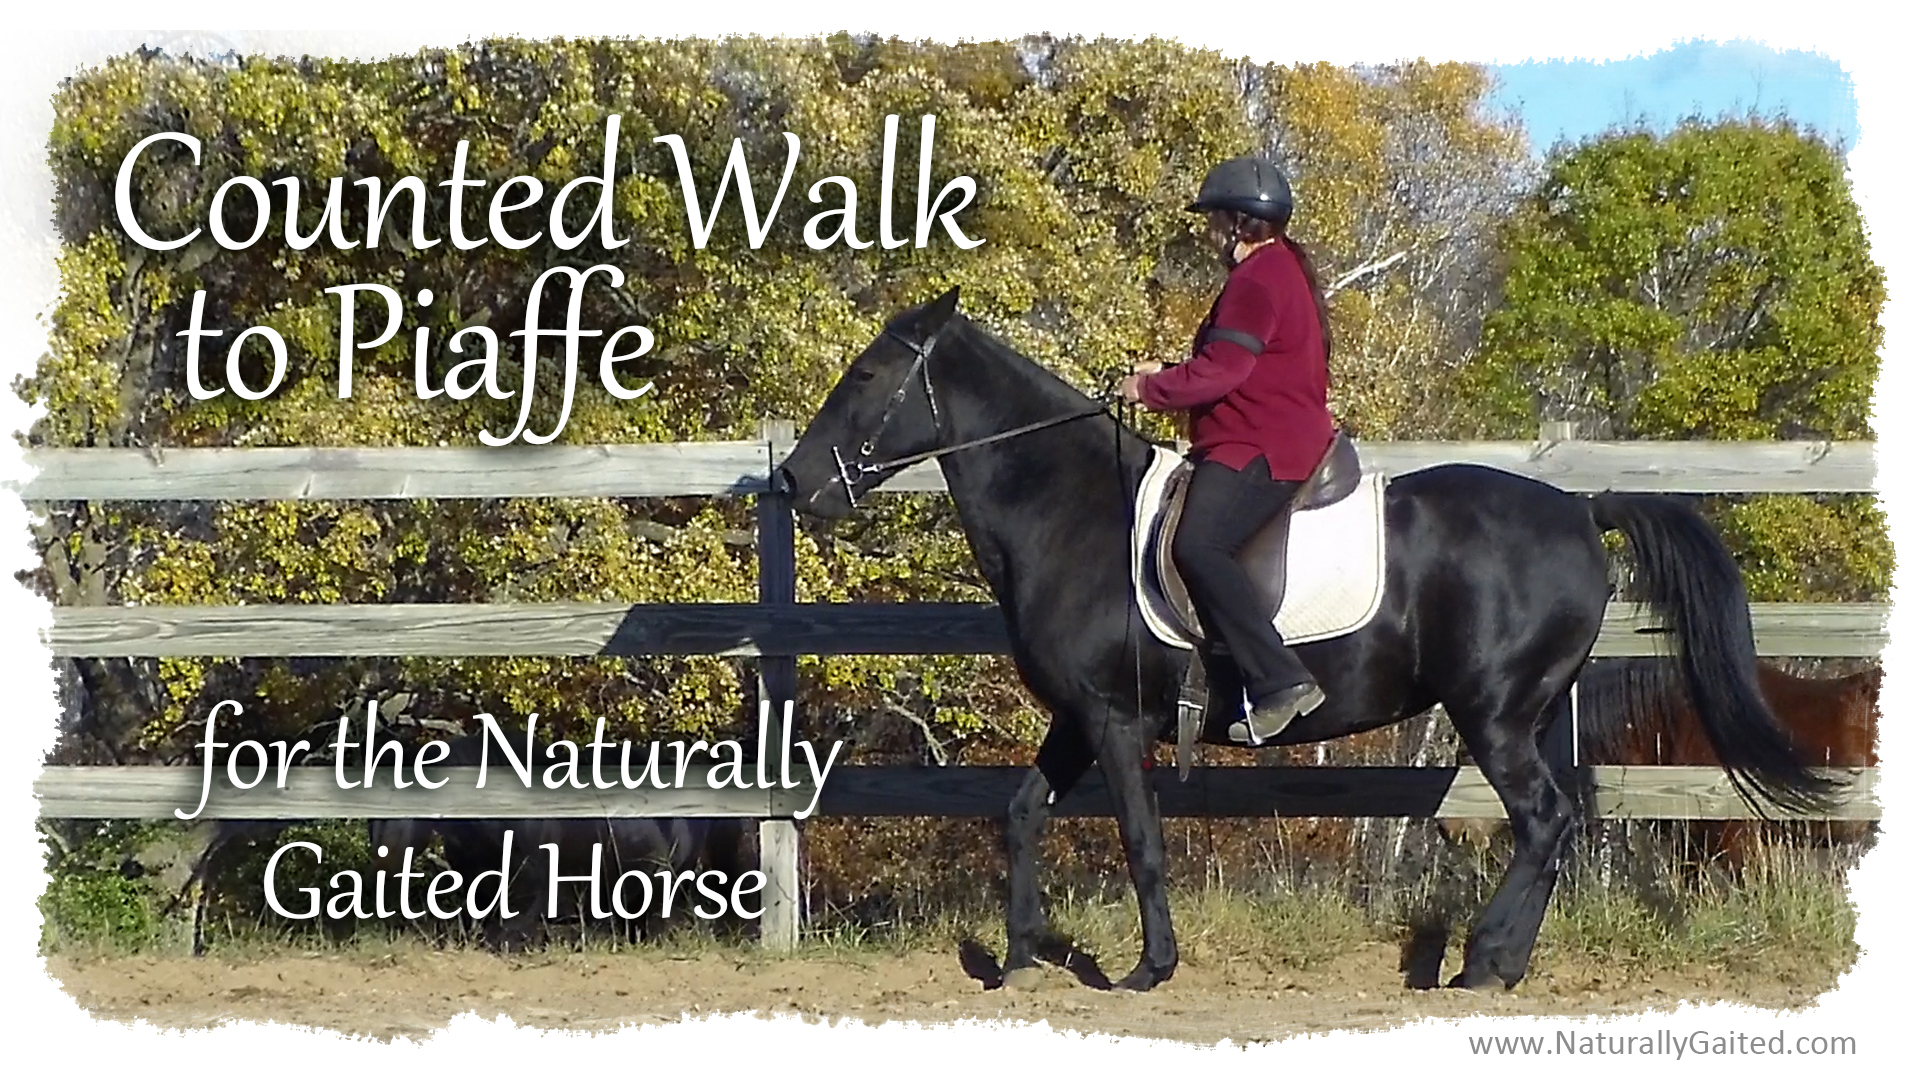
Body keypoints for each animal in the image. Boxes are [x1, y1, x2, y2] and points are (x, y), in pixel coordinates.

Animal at [773, 288, 1832, 992]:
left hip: (1493, 712)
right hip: (1521, 714)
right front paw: (1022, 958)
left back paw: (1481, 966)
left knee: (1542, 819)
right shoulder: (1079, 718)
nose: (793, 483)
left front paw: (1150, 968)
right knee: (1557, 823)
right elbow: (1022, 812)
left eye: (867, 374)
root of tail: (1580, 507)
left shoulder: (1116, 721)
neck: (1069, 508)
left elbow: (1141, 840)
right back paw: (1501, 964)